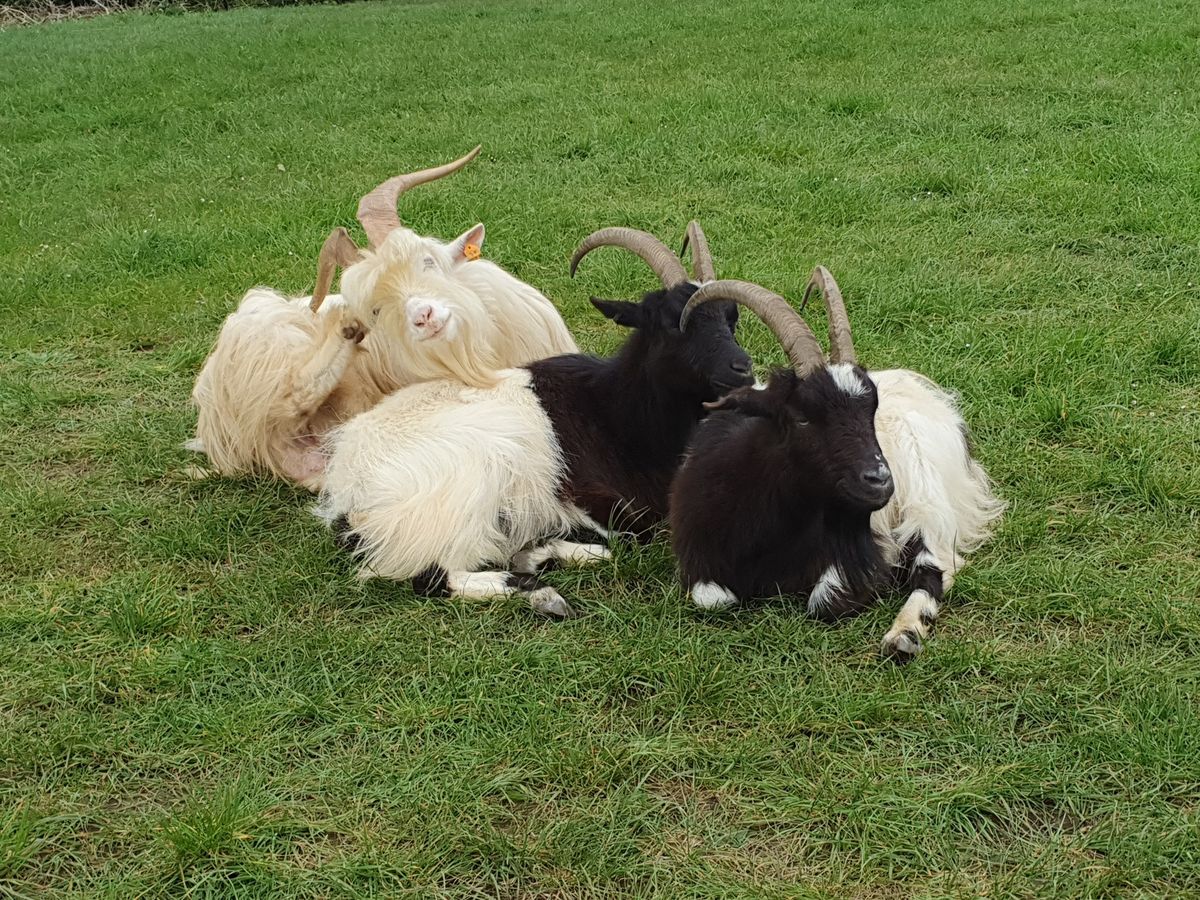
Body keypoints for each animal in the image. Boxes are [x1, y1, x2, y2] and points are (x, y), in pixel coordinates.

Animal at [187, 146, 576, 494]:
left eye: (428, 261)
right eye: (375, 309)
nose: (424, 316)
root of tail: (214, 421)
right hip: (267, 343)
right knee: (289, 402)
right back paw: (341, 328)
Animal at [672, 270, 998, 662]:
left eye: (871, 412)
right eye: (801, 418)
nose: (880, 481)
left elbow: (825, 601)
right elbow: (714, 600)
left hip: (927, 498)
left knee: (934, 567)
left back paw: (903, 636)